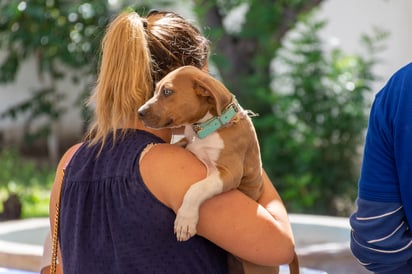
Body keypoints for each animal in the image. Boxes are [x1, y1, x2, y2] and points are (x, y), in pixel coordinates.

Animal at [138, 66, 300, 274]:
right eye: (156, 89)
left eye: (167, 92)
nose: (139, 112)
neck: (210, 126)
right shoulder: (188, 145)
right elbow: (179, 146)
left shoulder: (228, 173)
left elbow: (197, 189)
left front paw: (185, 220)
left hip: (256, 268)